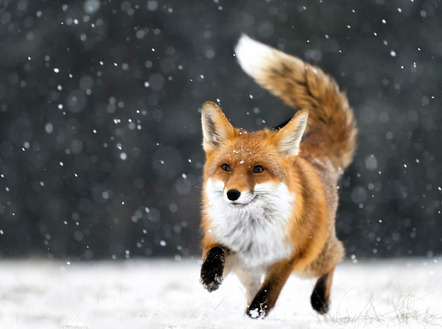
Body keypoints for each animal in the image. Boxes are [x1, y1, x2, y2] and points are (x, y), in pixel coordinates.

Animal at [199, 35, 358, 318]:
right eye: (226, 167)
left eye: (258, 169)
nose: (232, 194)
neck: (252, 232)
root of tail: (312, 153)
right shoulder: (228, 248)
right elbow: (215, 253)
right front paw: (210, 276)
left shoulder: (287, 258)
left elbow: (266, 295)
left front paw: (255, 317)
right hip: (250, 273)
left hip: (311, 261)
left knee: (337, 256)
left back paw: (321, 301)